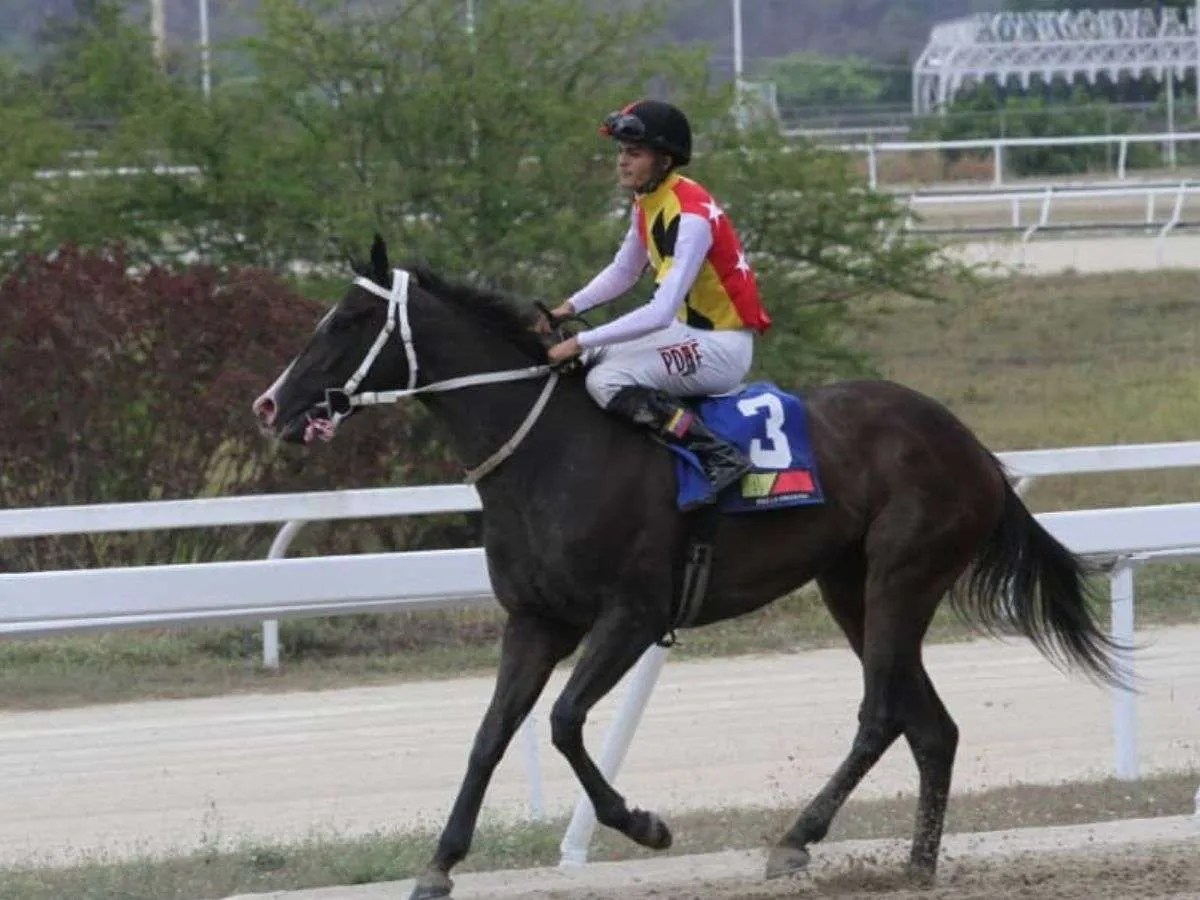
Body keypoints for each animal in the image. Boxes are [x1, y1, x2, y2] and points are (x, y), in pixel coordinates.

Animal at [255, 237, 1123, 900]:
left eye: (350, 318)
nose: (270, 405)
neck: (551, 454)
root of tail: (973, 447)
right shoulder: (535, 621)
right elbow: (491, 734)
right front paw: (439, 863)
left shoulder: (633, 615)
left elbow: (564, 722)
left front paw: (644, 824)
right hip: (850, 587)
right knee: (931, 727)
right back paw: (915, 865)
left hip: (900, 576)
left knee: (881, 716)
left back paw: (798, 838)